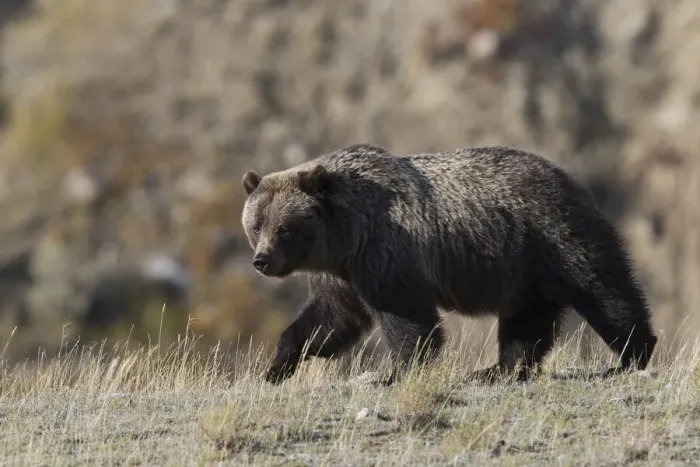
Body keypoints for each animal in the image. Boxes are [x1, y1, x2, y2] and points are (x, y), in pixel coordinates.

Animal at [240, 143, 657, 385]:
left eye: (285, 228)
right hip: (523, 270)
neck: (347, 233)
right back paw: (496, 370)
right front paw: (276, 366)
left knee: (603, 289)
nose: (262, 260)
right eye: (255, 224)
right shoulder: (344, 272)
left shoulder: (387, 255)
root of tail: (567, 176)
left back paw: (631, 354)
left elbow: (408, 319)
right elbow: (330, 319)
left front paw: (398, 371)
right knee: (526, 320)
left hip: (553, 236)